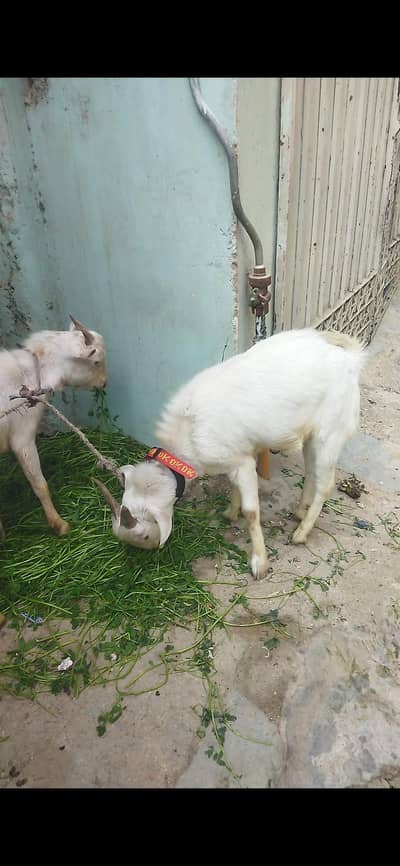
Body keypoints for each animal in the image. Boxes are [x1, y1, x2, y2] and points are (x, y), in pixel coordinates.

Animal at [95, 328, 365, 579]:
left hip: (331, 430)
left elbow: (252, 511)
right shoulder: (237, 454)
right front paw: (230, 512)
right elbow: (234, 488)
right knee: (311, 471)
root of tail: (351, 359)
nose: (151, 552)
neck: (187, 430)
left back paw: (301, 533)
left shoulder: (243, 462)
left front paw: (259, 563)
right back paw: (300, 512)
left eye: (143, 534)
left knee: (326, 485)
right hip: (311, 433)